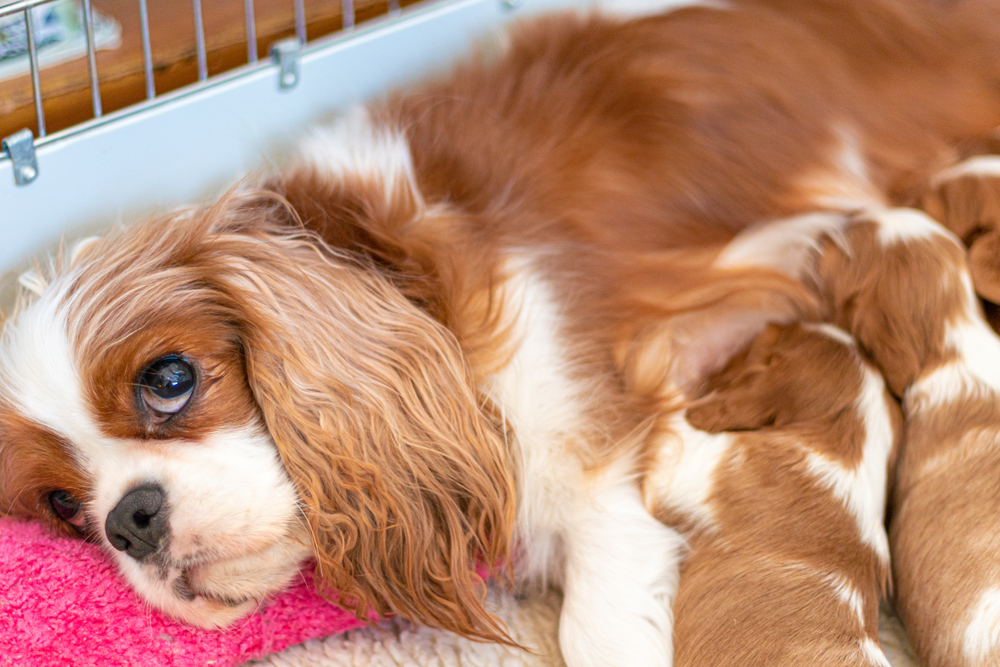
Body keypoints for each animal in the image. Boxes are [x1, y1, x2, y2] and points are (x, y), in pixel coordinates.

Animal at [0, 1, 1000, 667]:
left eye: (169, 378)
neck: (391, 267)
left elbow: (597, 622)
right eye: (63, 507)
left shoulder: (598, 448)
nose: (130, 520)